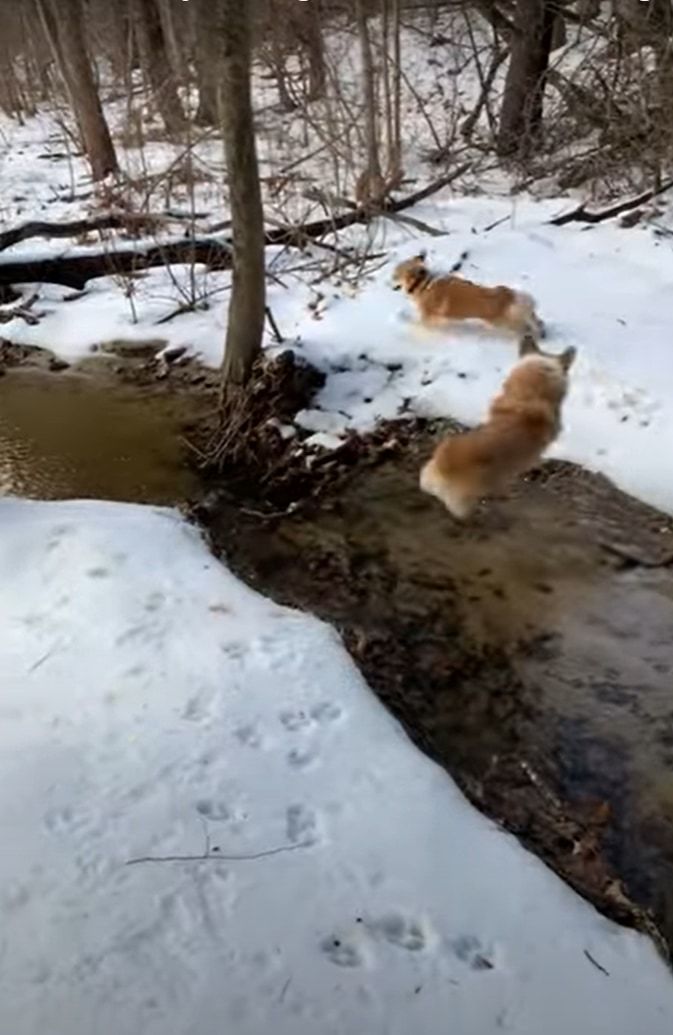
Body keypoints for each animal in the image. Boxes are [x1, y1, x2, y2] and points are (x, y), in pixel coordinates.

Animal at [391, 252, 542, 337]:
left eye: (395, 275)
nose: (390, 282)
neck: (424, 283)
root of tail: (510, 295)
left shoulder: (427, 318)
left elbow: (418, 323)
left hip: (502, 323)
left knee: (524, 327)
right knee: (535, 322)